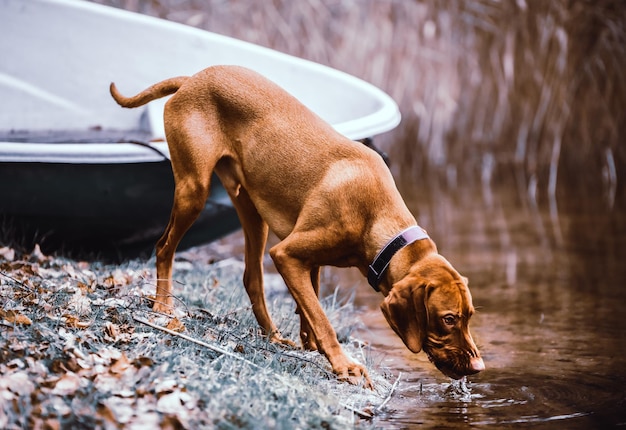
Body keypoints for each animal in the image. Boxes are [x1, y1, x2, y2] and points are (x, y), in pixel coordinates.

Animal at [109, 66, 482, 386]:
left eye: (469, 316)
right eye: (448, 318)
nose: (479, 367)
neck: (377, 219)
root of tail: (192, 79)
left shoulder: (307, 260)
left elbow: (309, 306)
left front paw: (309, 344)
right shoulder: (287, 253)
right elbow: (322, 317)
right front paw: (343, 364)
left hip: (252, 212)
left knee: (252, 279)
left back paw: (273, 336)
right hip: (194, 190)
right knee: (164, 247)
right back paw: (162, 306)